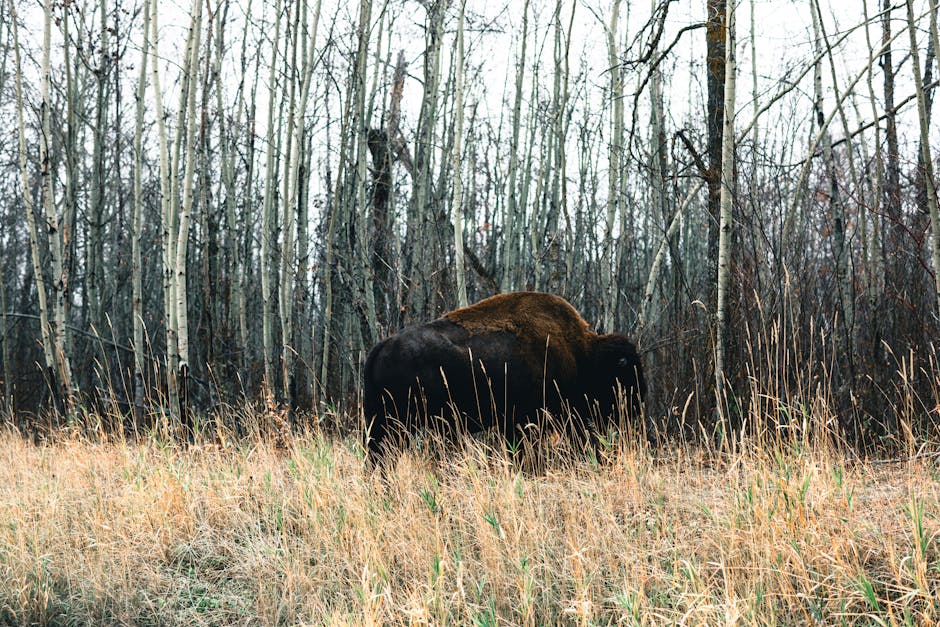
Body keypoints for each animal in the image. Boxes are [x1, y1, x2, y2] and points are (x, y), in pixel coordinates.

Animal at [362, 291, 645, 463]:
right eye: (626, 368)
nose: (638, 403)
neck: (581, 353)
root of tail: (381, 347)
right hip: (398, 423)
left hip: (381, 422)